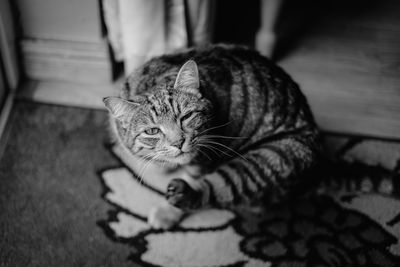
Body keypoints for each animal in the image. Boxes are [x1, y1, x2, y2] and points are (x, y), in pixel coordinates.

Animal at [104, 44, 322, 230]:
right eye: (152, 131)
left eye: (186, 116)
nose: (178, 142)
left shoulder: (205, 157)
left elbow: (192, 176)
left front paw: (167, 212)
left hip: (267, 158)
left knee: (216, 188)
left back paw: (183, 194)